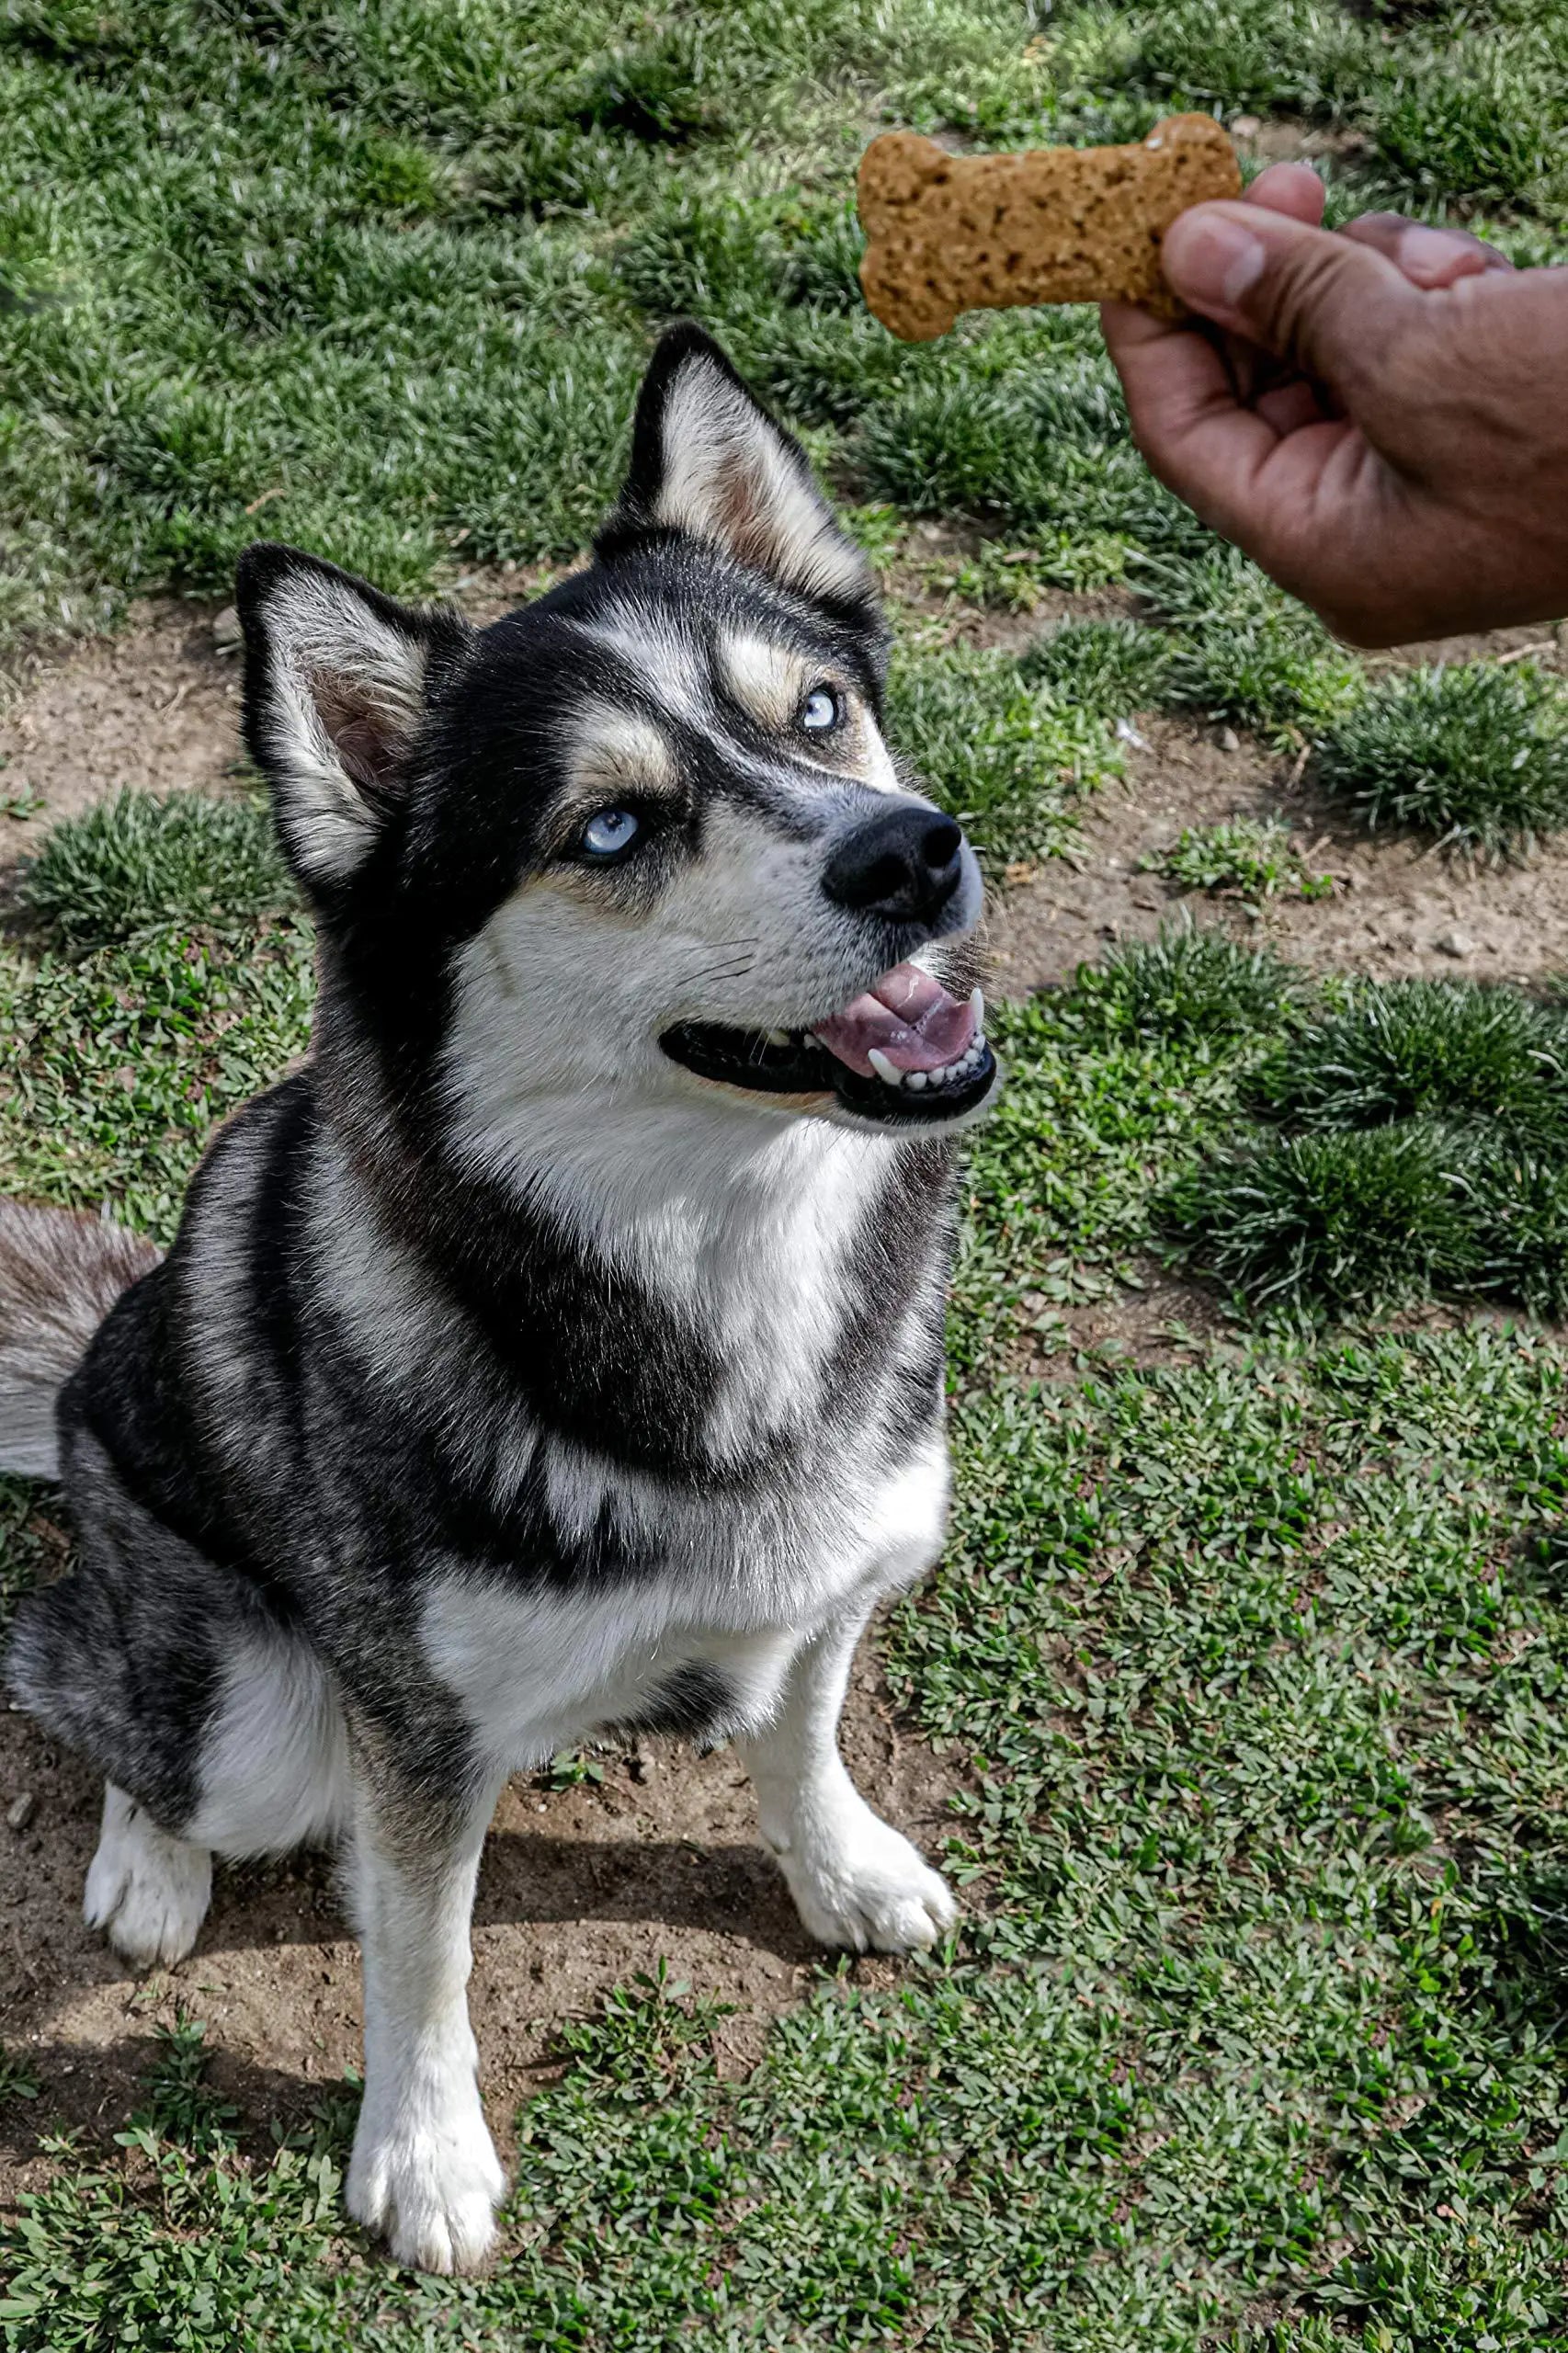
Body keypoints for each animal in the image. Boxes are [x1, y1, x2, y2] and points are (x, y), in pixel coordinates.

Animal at [0, 322, 993, 2268]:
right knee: (89, 1685)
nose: (910, 850)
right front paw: (427, 2157)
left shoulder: (843, 1569)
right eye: (608, 828)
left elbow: (805, 1733)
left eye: (814, 713)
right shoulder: (419, 1734)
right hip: (242, 1707)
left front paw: (842, 1867)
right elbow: (425, 1952)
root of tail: (89, 1353)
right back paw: (146, 1860)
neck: (721, 1252)